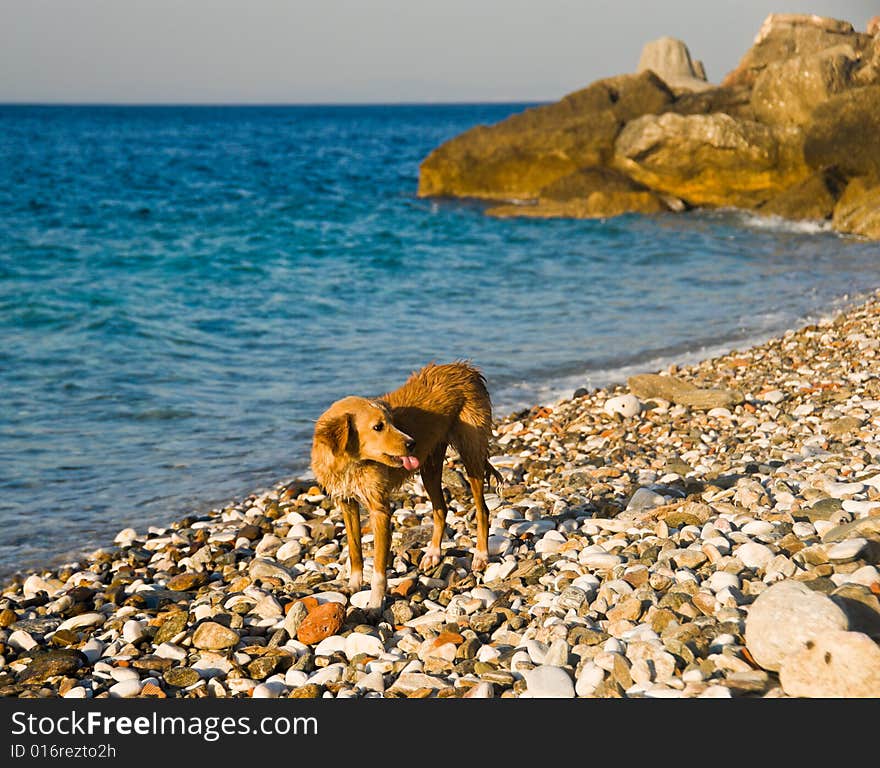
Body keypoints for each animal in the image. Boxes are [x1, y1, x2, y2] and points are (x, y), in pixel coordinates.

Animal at [310, 362, 502, 612]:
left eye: (391, 422)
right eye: (378, 427)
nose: (412, 443)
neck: (349, 463)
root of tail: (465, 368)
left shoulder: (380, 511)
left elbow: (379, 568)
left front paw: (375, 603)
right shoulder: (347, 503)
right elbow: (354, 550)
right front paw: (353, 586)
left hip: (471, 454)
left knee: (482, 509)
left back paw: (480, 555)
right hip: (430, 467)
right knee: (441, 509)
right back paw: (433, 553)